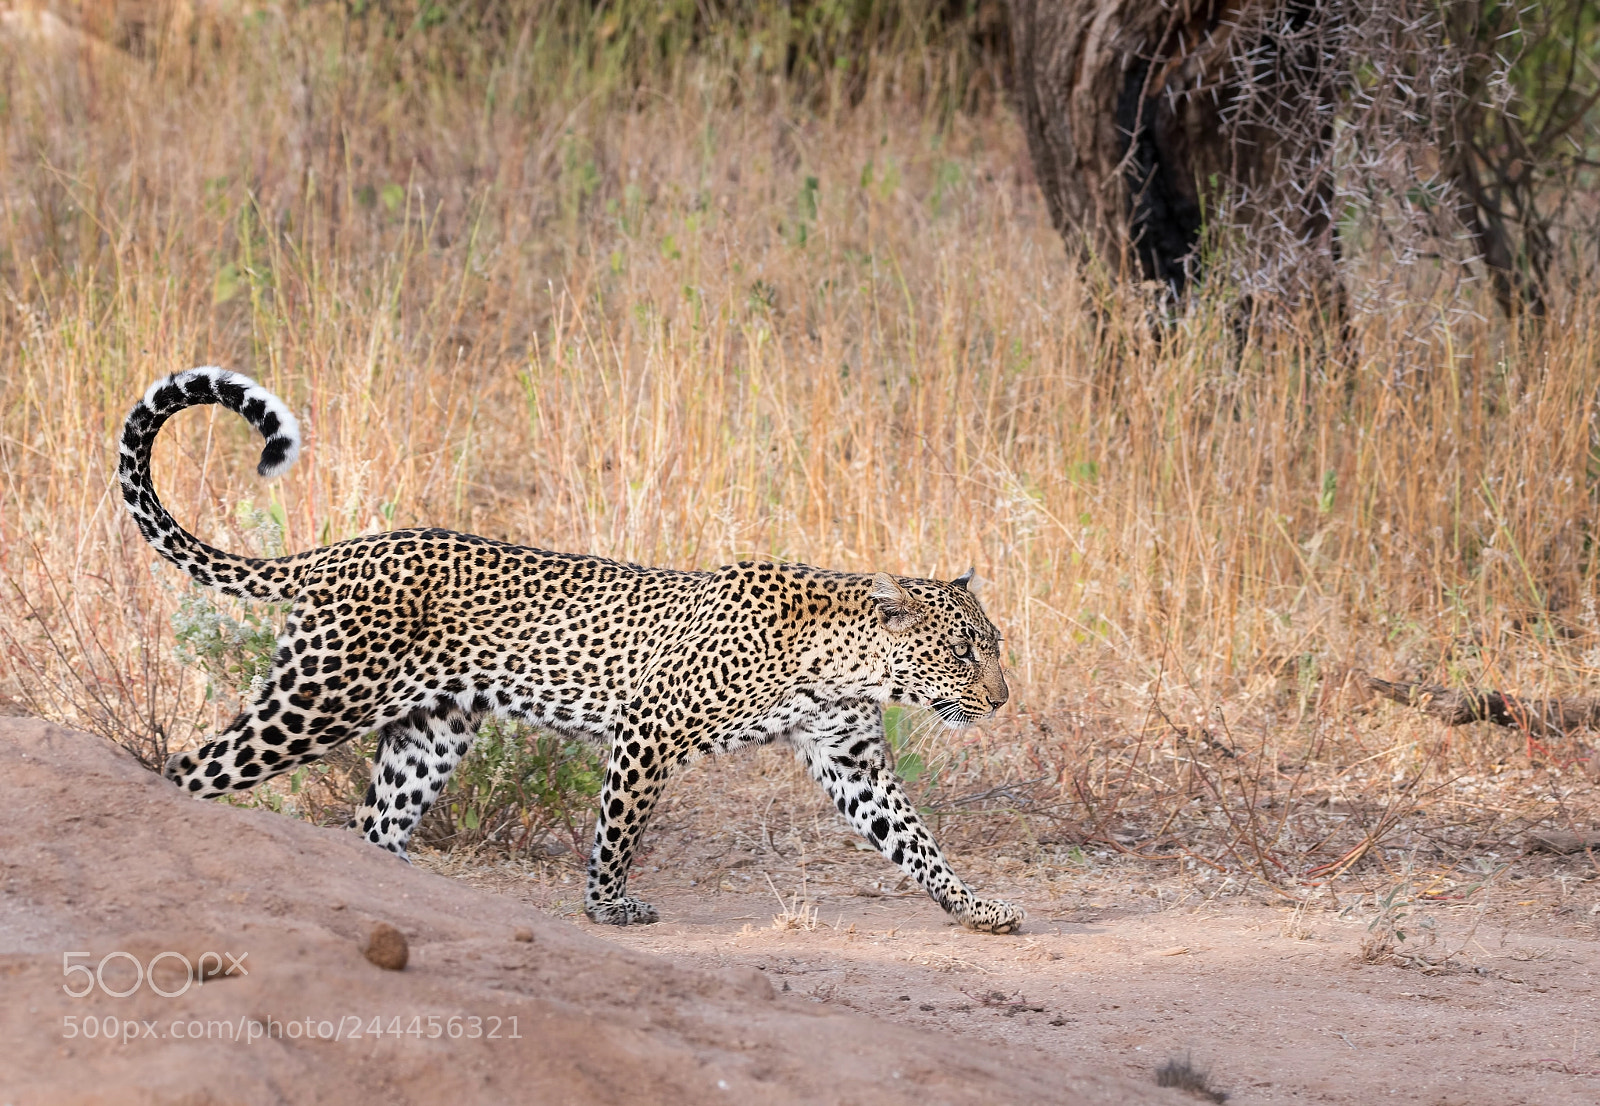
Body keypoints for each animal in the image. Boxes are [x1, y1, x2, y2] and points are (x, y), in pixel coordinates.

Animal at [118, 367, 1023, 933]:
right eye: (964, 653)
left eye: (993, 648)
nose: (1003, 700)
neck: (843, 666)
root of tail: (341, 550)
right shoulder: (648, 730)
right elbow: (617, 831)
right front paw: (607, 907)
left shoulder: (850, 758)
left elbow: (915, 841)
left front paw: (977, 909)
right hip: (319, 698)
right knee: (194, 769)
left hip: (429, 731)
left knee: (376, 825)